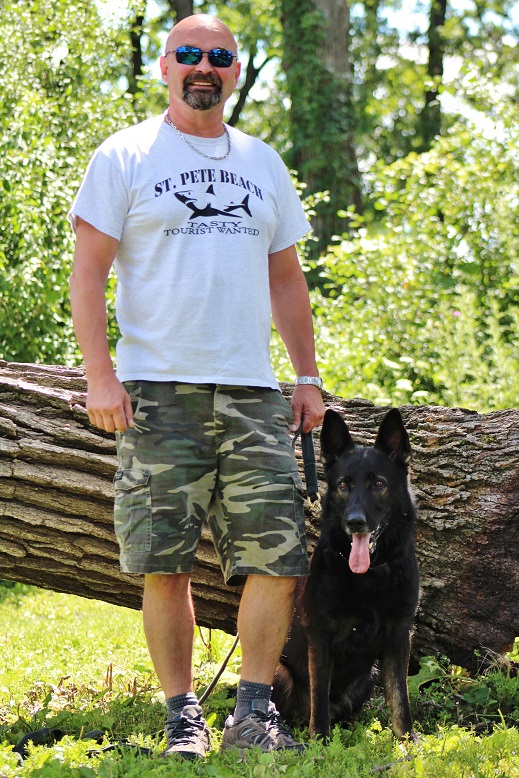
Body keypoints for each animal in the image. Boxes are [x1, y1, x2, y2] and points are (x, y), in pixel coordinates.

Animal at [272, 407, 420, 741]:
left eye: (378, 484)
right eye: (343, 485)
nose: (355, 522)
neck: (369, 576)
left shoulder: (399, 637)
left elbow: (400, 701)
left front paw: (407, 742)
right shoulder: (320, 638)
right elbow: (320, 700)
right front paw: (320, 743)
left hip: (368, 678)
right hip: (279, 672)